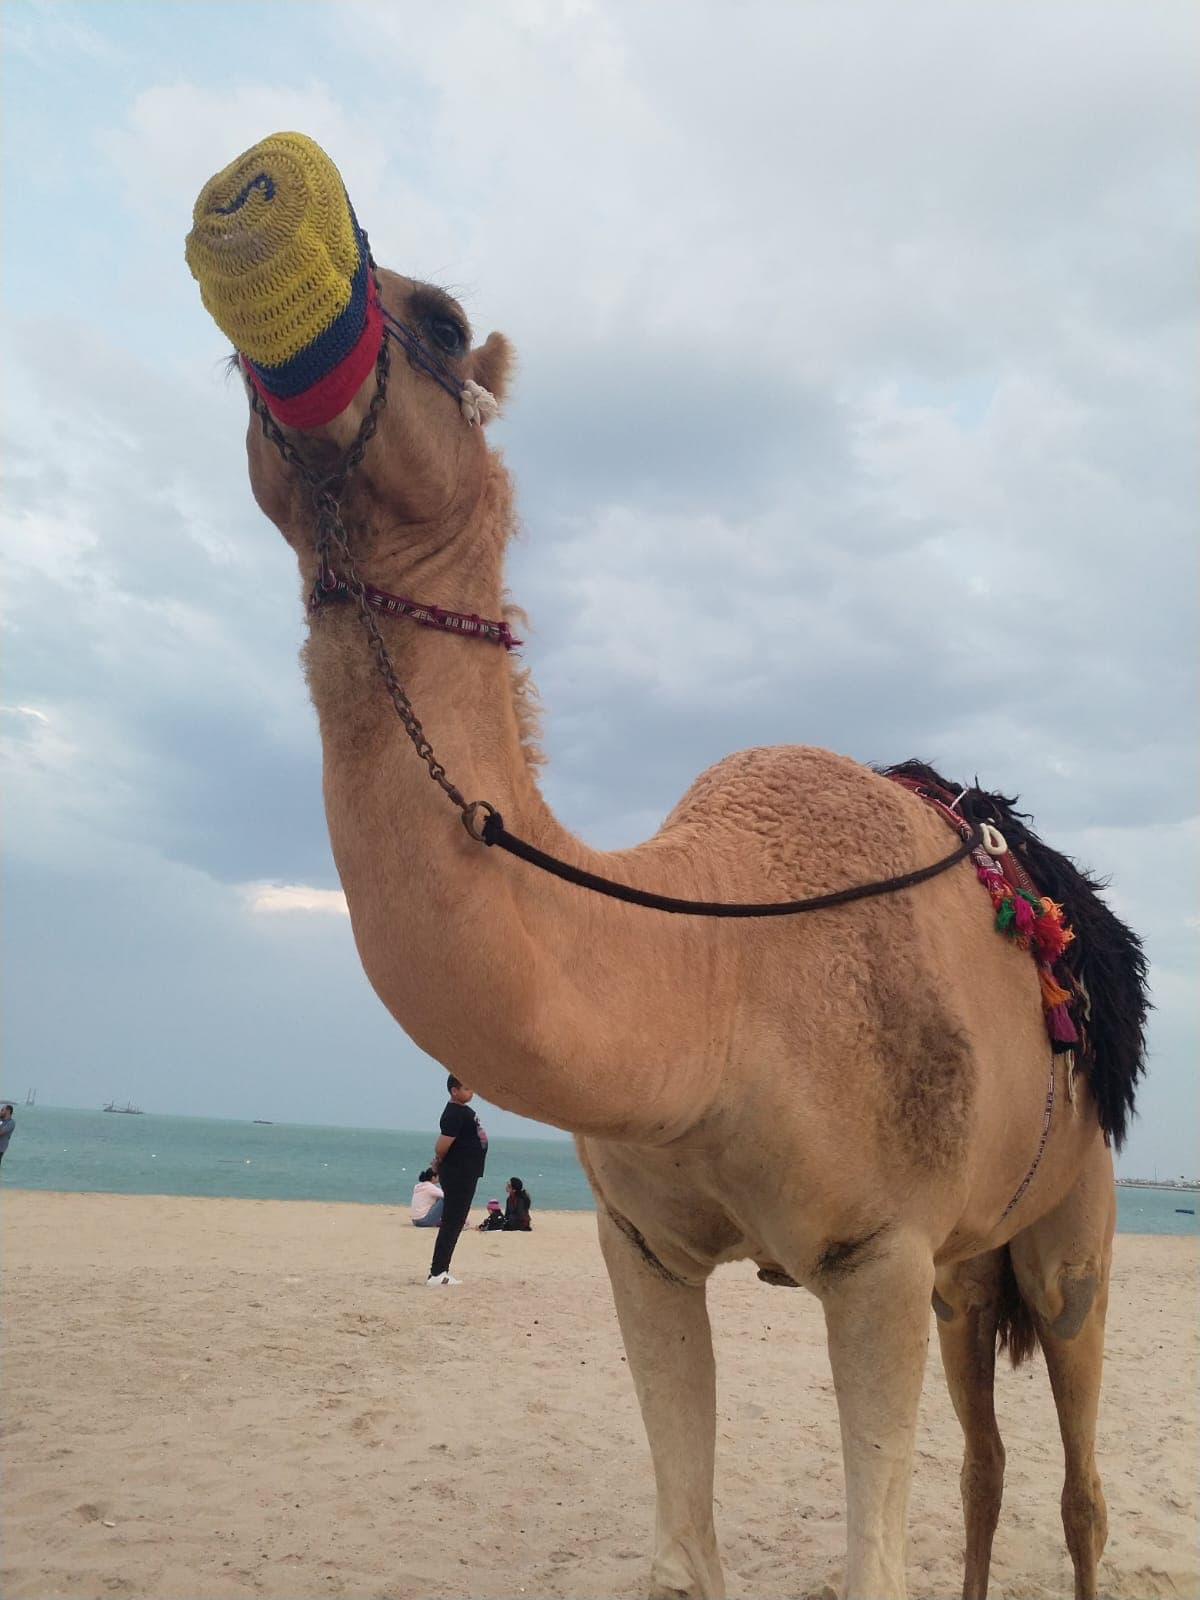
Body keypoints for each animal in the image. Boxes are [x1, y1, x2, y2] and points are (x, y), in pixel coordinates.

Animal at [186, 134, 1148, 1600]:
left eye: (445, 322)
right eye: (227, 373)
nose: (257, 192)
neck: (722, 966)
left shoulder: (876, 1254)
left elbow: (874, 1564)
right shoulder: (641, 1244)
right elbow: (681, 1557)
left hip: (1072, 1216)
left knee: (1084, 1473)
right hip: (967, 1267)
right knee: (985, 1460)